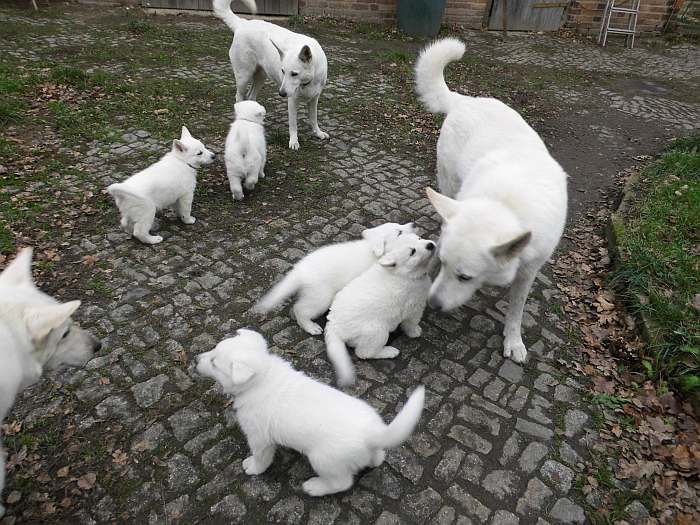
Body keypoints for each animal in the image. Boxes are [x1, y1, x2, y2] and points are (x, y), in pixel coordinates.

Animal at [194, 328, 424, 496]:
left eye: (214, 363)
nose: (196, 358)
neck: (262, 378)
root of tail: (373, 433)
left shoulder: (259, 438)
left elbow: (261, 458)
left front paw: (252, 467)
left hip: (323, 460)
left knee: (342, 483)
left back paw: (314, 487)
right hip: (368, 449)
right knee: (378, 457)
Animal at [212, 0, 330, 149]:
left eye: (294, 74)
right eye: (283, 71)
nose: (281, 94)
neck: (309, 79)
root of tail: (242, 23)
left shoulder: (314, 98)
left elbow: (313, 119)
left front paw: (318, 133)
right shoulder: (292, 101)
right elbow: (293, 125)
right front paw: (294, 142)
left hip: (261, 77)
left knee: (250, 97)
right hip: (243, 77)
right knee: (239, 97)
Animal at [326, 234, 434, 384]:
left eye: (419, 238)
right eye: (412, 252)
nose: (431, 245)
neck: (404, 274)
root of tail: (334, 326)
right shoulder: (413, 307)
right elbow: (411, 322)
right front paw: (414, 332)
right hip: (377, 331)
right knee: (364, 353)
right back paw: (389, 351)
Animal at [416, 37, 568, 364]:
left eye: (464, 277)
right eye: (443, 264)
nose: (432, 304)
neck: (506, 205)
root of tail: (465, 100)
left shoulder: (529, 270)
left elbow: (517, 309)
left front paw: (513, 340)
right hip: (448, 184)